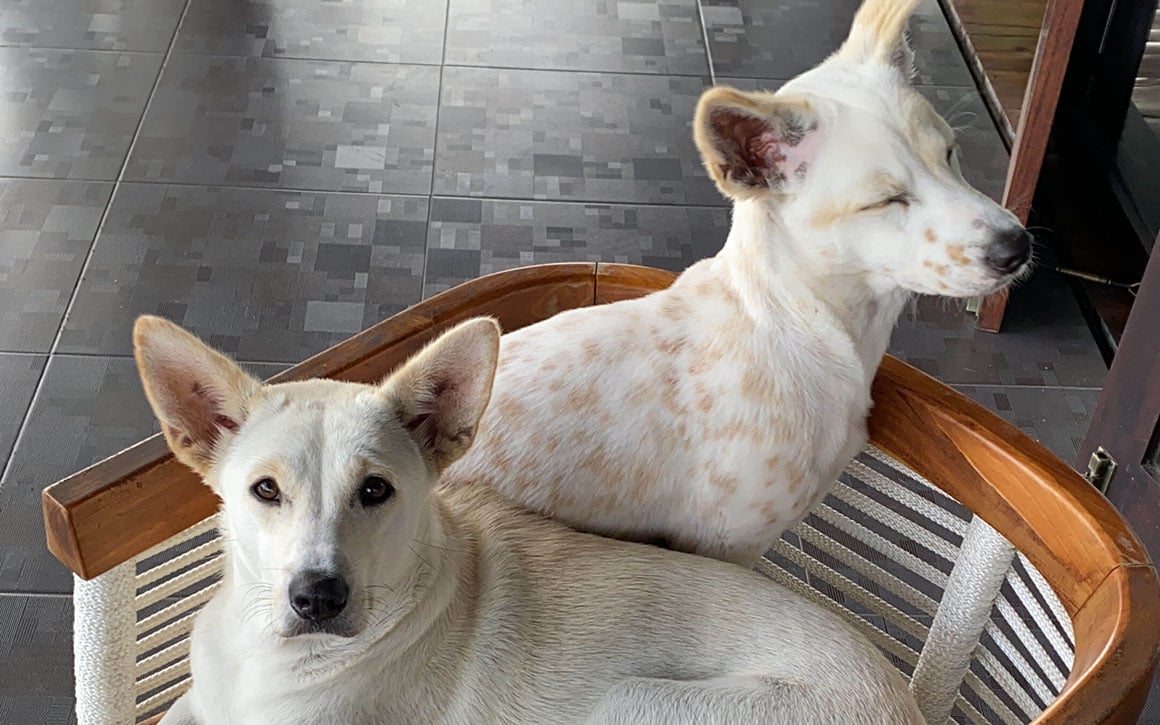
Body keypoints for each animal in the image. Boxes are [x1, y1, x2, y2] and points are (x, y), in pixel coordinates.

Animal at [133, 315, 914, 723]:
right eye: (265, 490)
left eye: (376, 491)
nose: (318, 597)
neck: (267, 657)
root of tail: (904, 700)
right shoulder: (196, 703)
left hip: (629, 702)